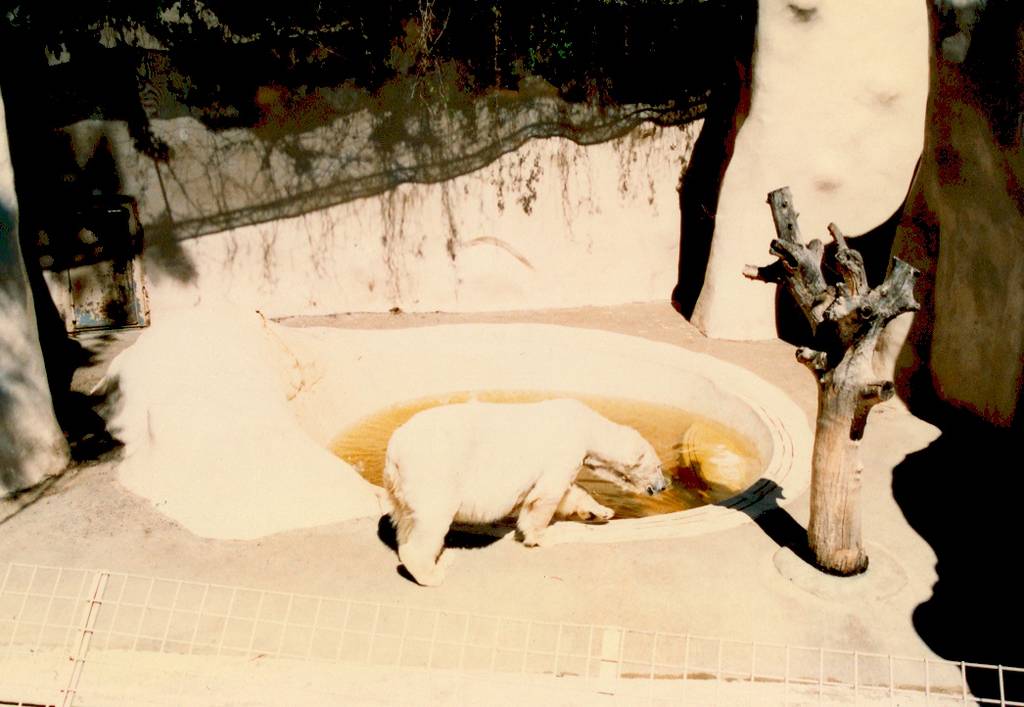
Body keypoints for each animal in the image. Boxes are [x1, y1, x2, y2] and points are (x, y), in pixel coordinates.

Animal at [382, 398, 669, 586]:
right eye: (658, 466)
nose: (664, 484)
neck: (585, 424)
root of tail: (394, 451)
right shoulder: (564, 449)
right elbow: (546, 496)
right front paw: (541, 536)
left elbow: (569, 492)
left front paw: (601, 512)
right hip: (435, 471)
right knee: (433, 520)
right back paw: (432, 573)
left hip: (402, 487)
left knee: (407, 521)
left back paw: (439, 557)